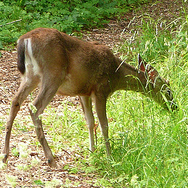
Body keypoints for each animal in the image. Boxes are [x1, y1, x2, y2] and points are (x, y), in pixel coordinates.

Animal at [2, 27, 177, 167]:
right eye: (168, 90)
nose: (175, 107)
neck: (116, 75)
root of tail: (24, 41)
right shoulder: (101, 89)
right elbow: (104, 124)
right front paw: (109, 156)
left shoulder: (84, 92)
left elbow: (89, 121)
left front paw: (92, 151)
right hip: (52, 74)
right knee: (35, 108)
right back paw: (51, 159)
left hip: (30, 76)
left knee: (15, 102)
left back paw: (5, 154)